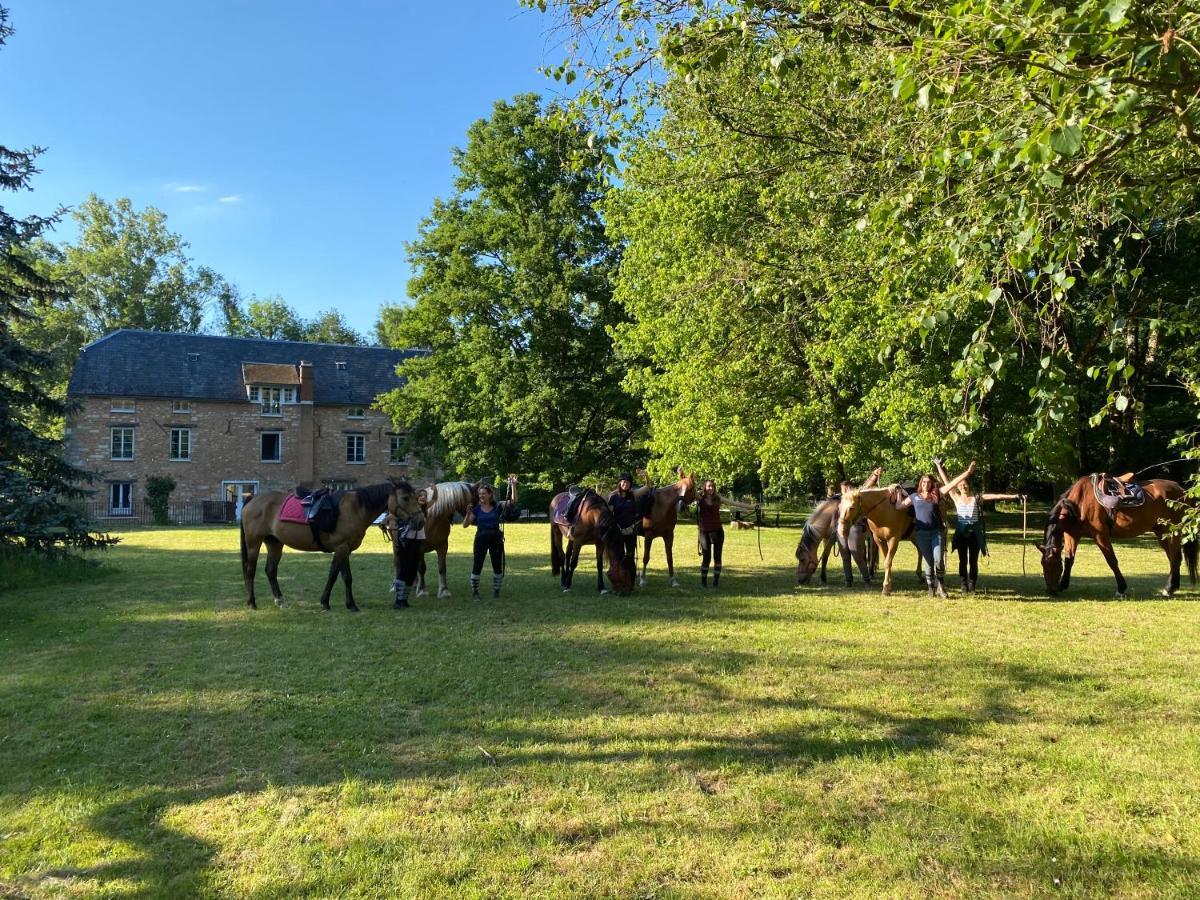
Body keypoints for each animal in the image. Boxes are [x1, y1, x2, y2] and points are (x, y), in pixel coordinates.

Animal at [237, 480, 422, 614]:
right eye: (405, 498)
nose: (420, 520)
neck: (355, 509)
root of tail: (253, 499)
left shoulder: (345, 550)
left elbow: (342, 576)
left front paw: (344, 604)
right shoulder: (341, 548)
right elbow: (338, 575)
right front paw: (332, 603)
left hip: (275, 544)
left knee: (270, 571)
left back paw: (280, 601)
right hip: (254, 544)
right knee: (250, 571)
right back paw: (252, 603)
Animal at [1036, 472, 1195, 600]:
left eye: (1056, 566)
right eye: (1043, 564)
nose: (1050, 591)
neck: (1078, 503)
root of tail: (1182, 490)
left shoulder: (1100, 535)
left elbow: (1111, 561)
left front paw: (1121, 588)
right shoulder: (1072, 535)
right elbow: (1069, 559)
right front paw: (1063, 584)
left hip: (1173, 532)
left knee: (1175, 558)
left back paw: (1169, 589)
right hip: (1162, 532)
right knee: (1173, 558)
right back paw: (1172, 587)